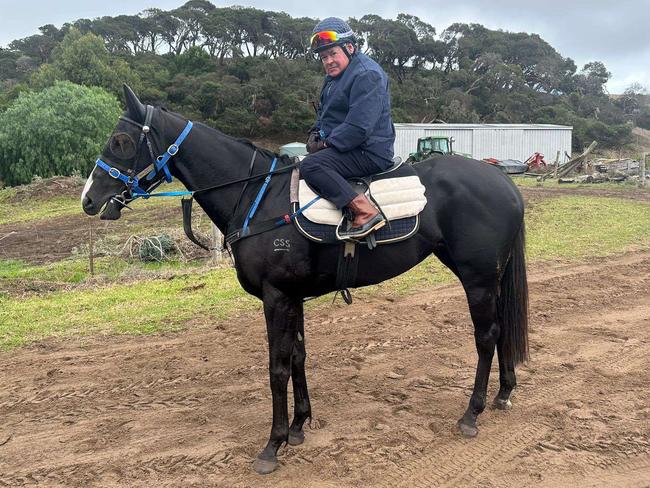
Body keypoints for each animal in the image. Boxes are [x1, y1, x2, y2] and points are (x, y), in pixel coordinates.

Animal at [82, 86, 528, 474]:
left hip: (477, 278)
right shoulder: (291, 297)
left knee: (487, 336)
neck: (258, 197)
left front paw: (272, 444)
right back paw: (504, 392)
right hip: (487, 276)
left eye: (120, 140)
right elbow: (297, 356)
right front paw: (298, 427)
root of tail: (504, 180)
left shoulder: (276, 297)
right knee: (502, 329)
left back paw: (472, 413)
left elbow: (276, 367)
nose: (88, 199)